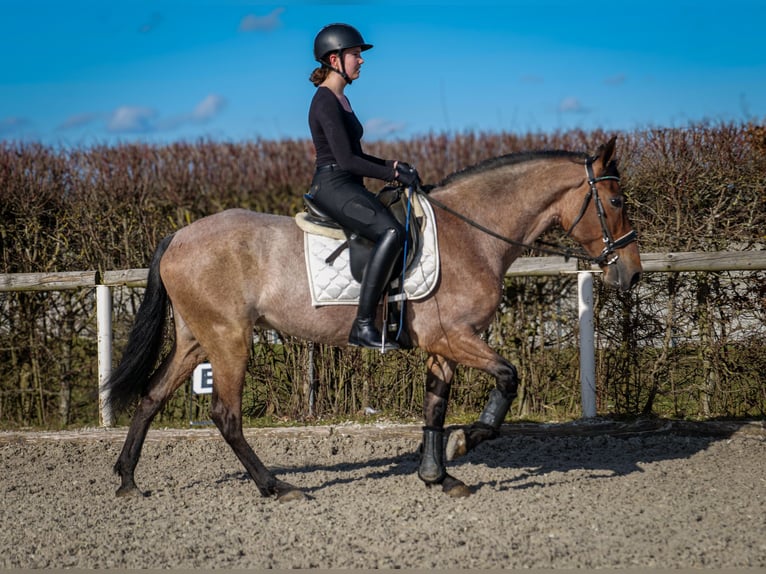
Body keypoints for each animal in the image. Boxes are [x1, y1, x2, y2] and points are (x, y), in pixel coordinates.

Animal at [102, 137, 640, 502]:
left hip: (198, 339)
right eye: (616, 201)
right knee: (225, 416)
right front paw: (465, 442)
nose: (631, 273)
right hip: (229, 339)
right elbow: (508, 377)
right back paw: (276, 487)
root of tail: (179, 235)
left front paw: (438, 475)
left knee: (151, 397)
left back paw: (128, 479)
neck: (471, 234)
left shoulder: (442, 345)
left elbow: (434, 407)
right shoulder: (457, 337)